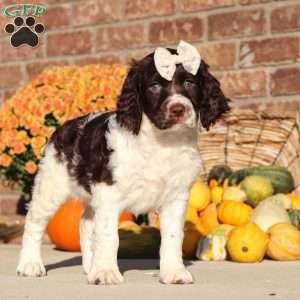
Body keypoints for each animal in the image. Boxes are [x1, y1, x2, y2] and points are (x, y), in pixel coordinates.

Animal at [16, 41, 230, 284]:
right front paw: (106, 272)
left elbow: (173, 236)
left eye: (189, 83)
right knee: (34, 222)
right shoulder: (109, 192)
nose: (178, 109)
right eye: (154, 86)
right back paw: (30, 264)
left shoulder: (176, 196)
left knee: (85, 223)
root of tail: (64, 127)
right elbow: (108, 235)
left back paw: (90, 267)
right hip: (52, 185)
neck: (162, 142)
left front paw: (174, 272)